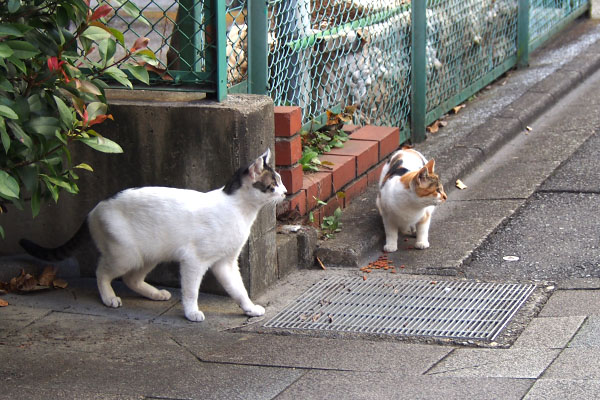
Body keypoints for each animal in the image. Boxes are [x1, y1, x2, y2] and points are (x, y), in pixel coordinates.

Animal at [19, 149, 288, 322]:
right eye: (273, 184)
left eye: (281, 180)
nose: (285, 192)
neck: (238, 210)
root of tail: (94, 208)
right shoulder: (194, 261)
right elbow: (191, 291)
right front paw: (191, 312)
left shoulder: (225, 263)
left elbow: (238, 289)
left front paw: (249, 308)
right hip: (125, 255)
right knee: (102, 272)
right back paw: (109, 297)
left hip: (148, 256)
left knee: (131, 279)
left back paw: (156, 294)